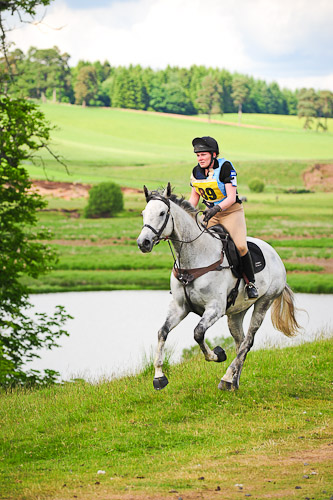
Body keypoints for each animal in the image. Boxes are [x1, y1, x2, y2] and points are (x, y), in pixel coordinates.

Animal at [135, 184, 298, 390]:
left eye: (162, 213)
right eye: (143, 213)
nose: (143, 243)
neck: (193, 259)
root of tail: (275, 255)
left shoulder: (215, 308)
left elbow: (198, 333)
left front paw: (217, 354)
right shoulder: (180, 308)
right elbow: (162, 332)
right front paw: (159, 377)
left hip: (264, 303)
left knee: (248, 342)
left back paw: (228, 376)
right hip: (236, 312)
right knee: (240, 342)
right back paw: (232, 382)